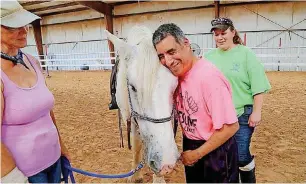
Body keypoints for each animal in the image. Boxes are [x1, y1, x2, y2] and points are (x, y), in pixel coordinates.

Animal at [106, 25, 179, 183]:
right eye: (132, 87)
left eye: (175, 86)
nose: (167, 161)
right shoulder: (131, 118)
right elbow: (137, 145)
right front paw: (135, 175)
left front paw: (158, 177)